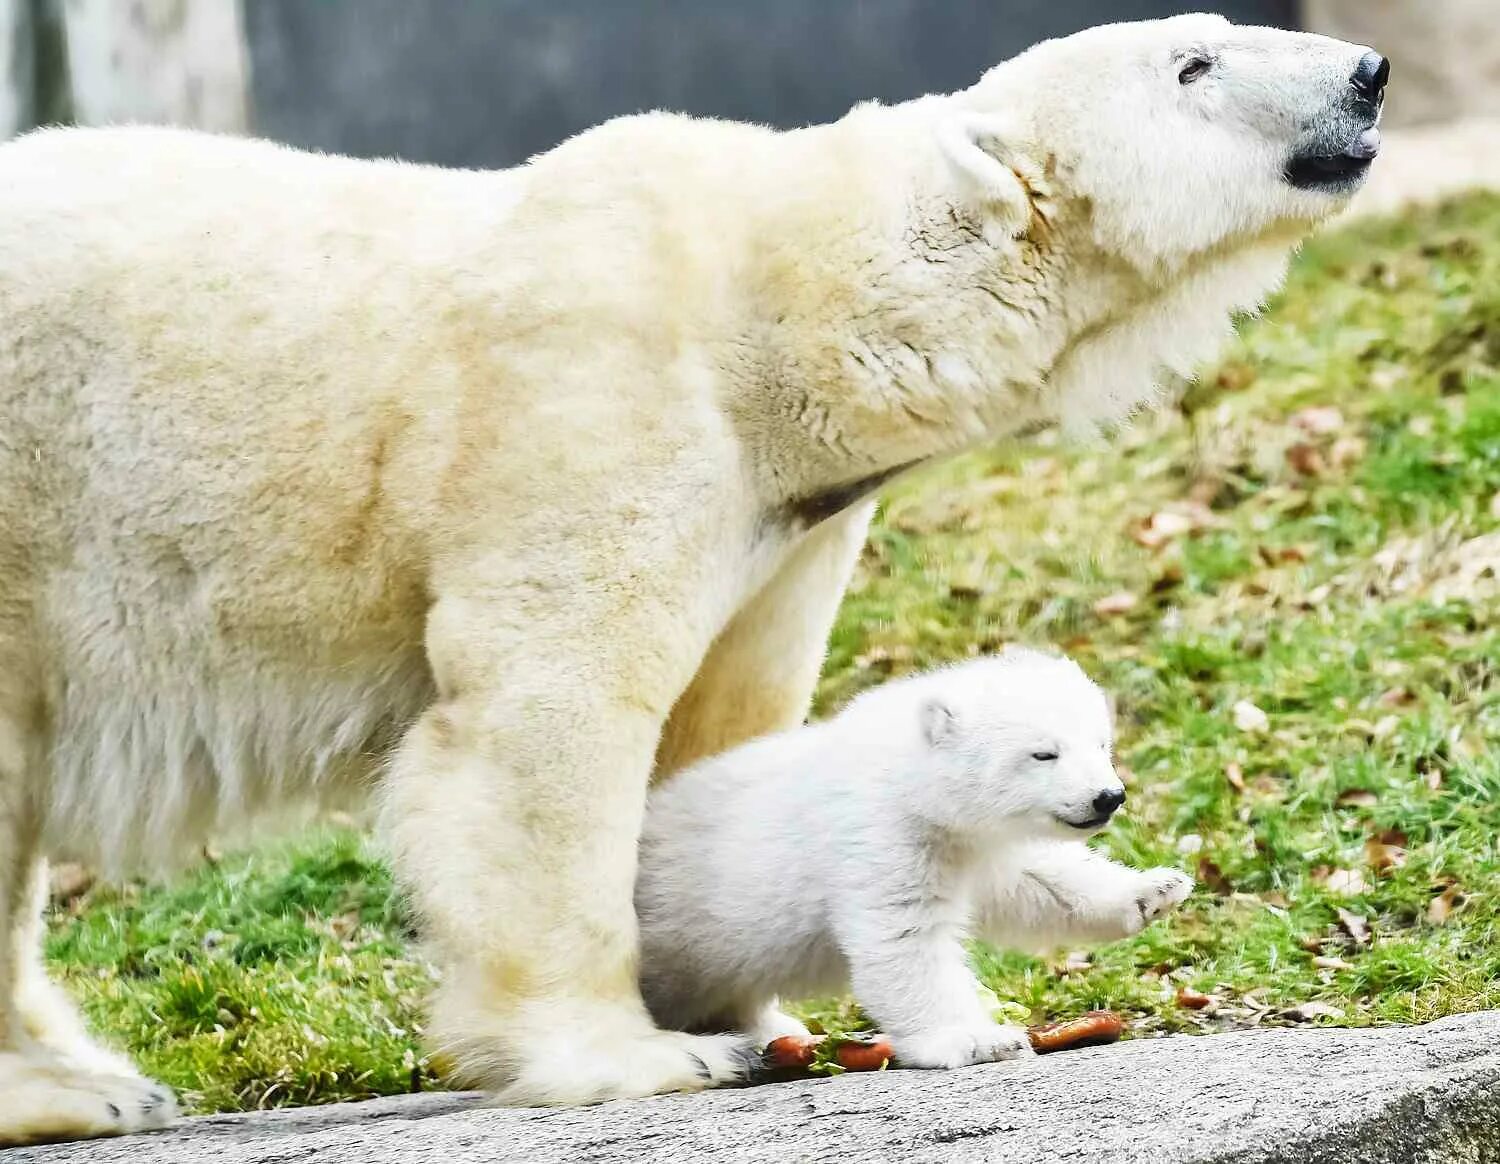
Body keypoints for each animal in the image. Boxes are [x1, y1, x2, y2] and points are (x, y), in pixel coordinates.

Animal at [0, 13, 1380, 1140]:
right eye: (1192, 64)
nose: (1368, 74)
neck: (774, 305)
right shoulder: (593, 398)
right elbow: (548, 716)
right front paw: (641, 1055)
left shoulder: (786, 519)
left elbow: (719, 725)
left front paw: (754, 1010)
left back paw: (103, 1086)